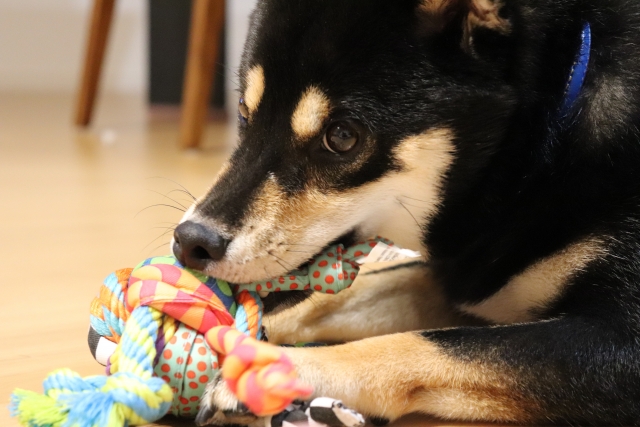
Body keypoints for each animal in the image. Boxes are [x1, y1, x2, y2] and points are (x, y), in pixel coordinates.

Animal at [171, 0, 640, 424]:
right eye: (244, 113)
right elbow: (332, 301)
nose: (190, 241)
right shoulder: (463, 279)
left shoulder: (622, 347)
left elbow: (422, 343)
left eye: (342, 137)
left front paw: (277, 370)